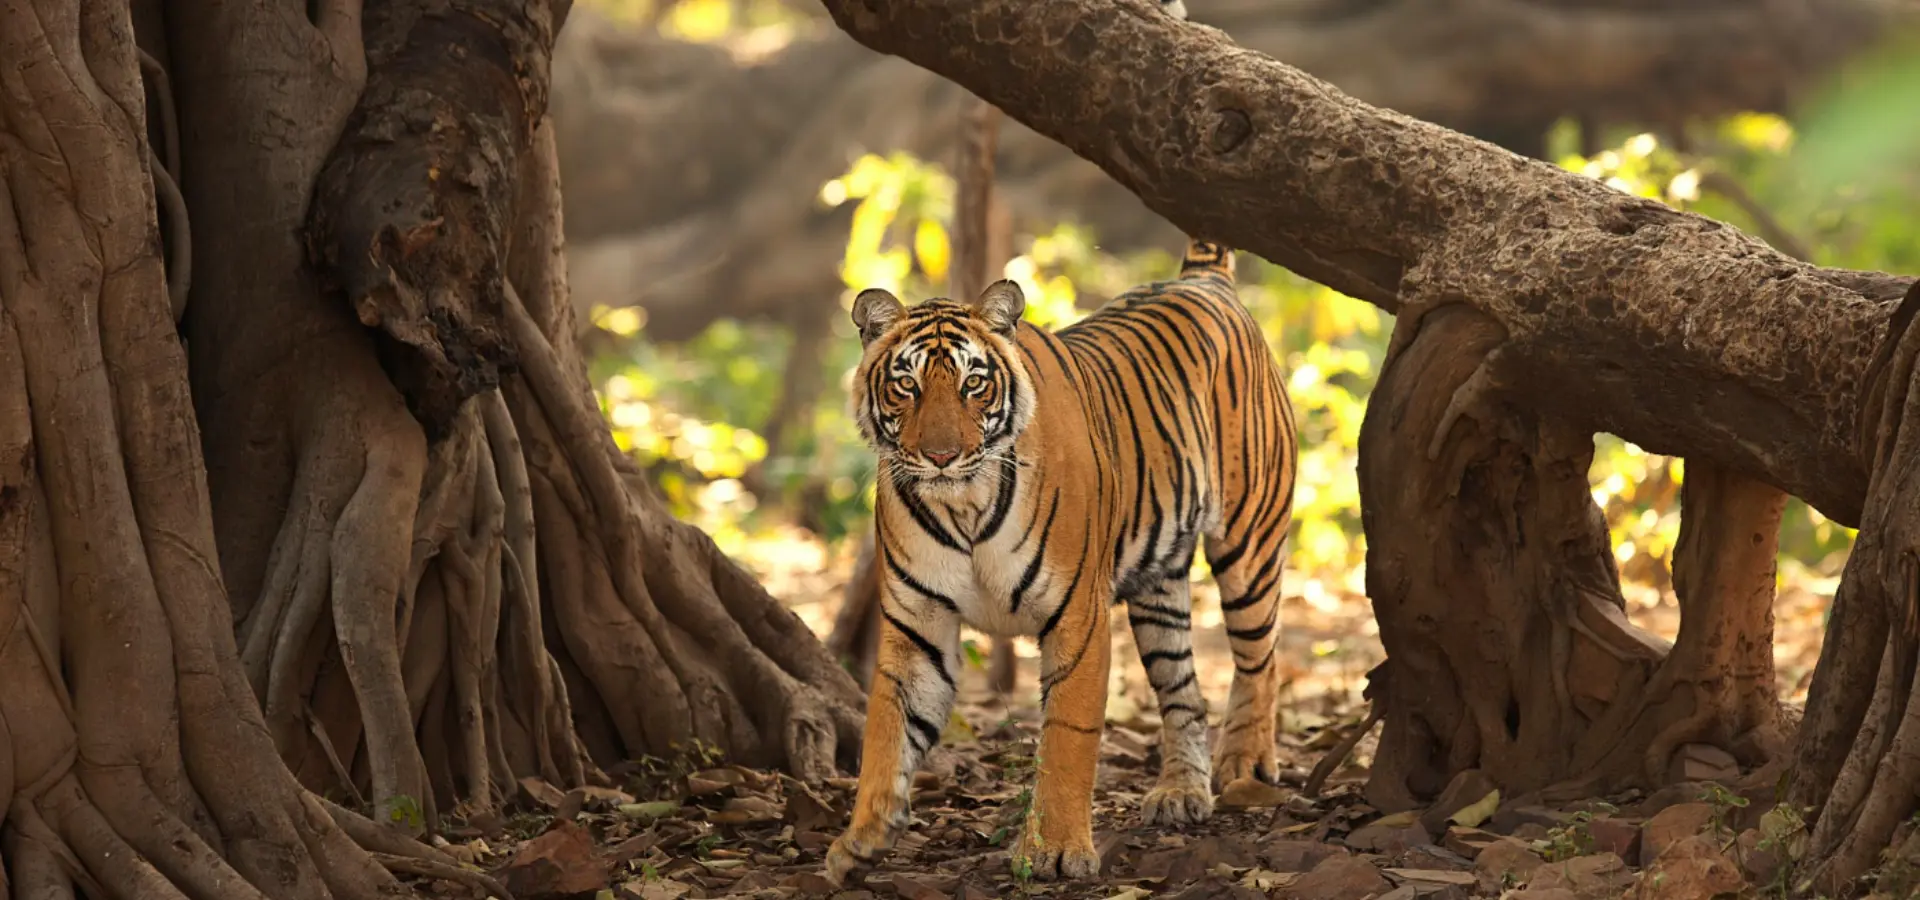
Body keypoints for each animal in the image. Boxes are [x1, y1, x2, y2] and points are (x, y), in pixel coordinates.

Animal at [823, 237, 1299, 883]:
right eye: (908, 385)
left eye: (973, 384)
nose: (942, 456)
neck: (964, 505)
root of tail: (1203, 279)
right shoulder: (918, 629)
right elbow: (887, 731)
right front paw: (861, 840)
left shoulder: (1078, 618)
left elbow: (1068, 738)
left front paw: (1055, 849)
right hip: (1158, 587)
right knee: (1183, 688)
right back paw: (1181, 791)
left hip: (1249, 544)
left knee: (1260, 659)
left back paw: (1245, 764)